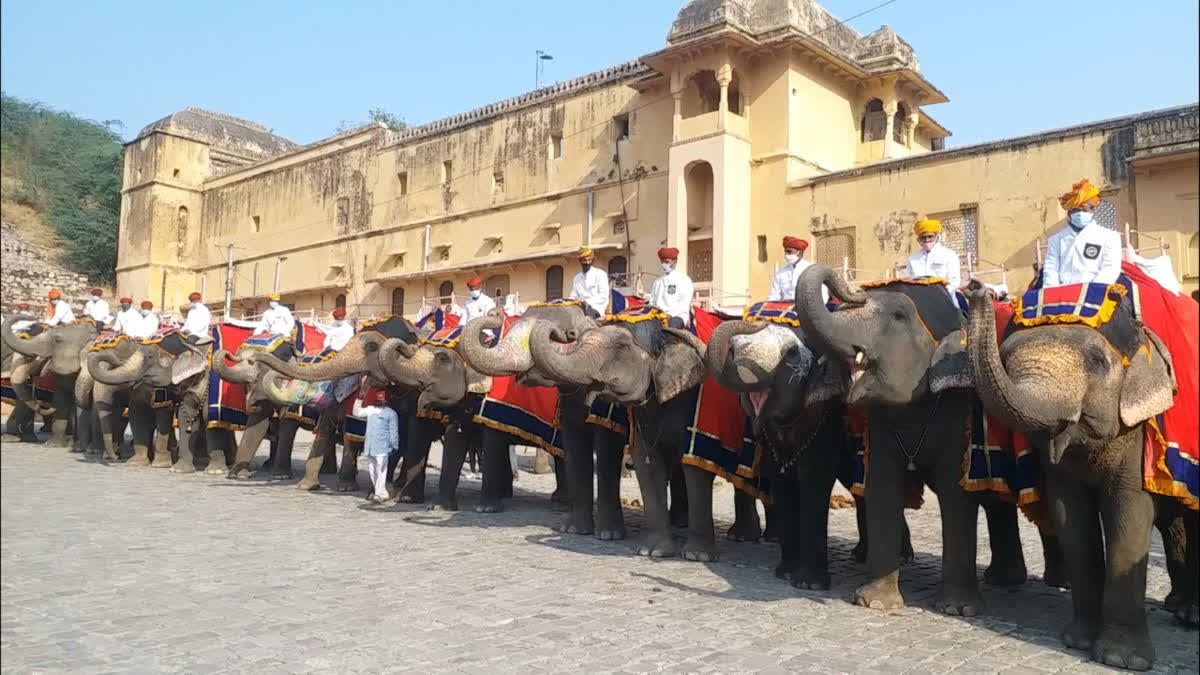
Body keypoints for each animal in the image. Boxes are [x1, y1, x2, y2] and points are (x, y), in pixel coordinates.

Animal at [528, 314, 724, 557]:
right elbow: (646, 463)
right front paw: (651, 551)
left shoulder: (700, 407)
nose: (567, 332)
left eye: (622, 346)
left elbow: (696, 466)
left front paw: (697, 556)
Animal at [796, 263, 1060, 614]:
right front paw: (873, 603)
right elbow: (881, 485)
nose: (974, 286)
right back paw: (1005, 579)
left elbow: (955, 493)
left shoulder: (959, 410)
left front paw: (957, 609)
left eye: (898, 316)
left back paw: (1050, 583)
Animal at [960, 279, 1195, 667]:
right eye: (1006, 361)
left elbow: (1128, 510)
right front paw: (1078, 642)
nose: (975, 287)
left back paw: (1189, 616)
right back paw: (1178, 606)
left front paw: (1120, 660)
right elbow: (1070, 514)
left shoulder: (1140, 429)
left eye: (1097, 361)